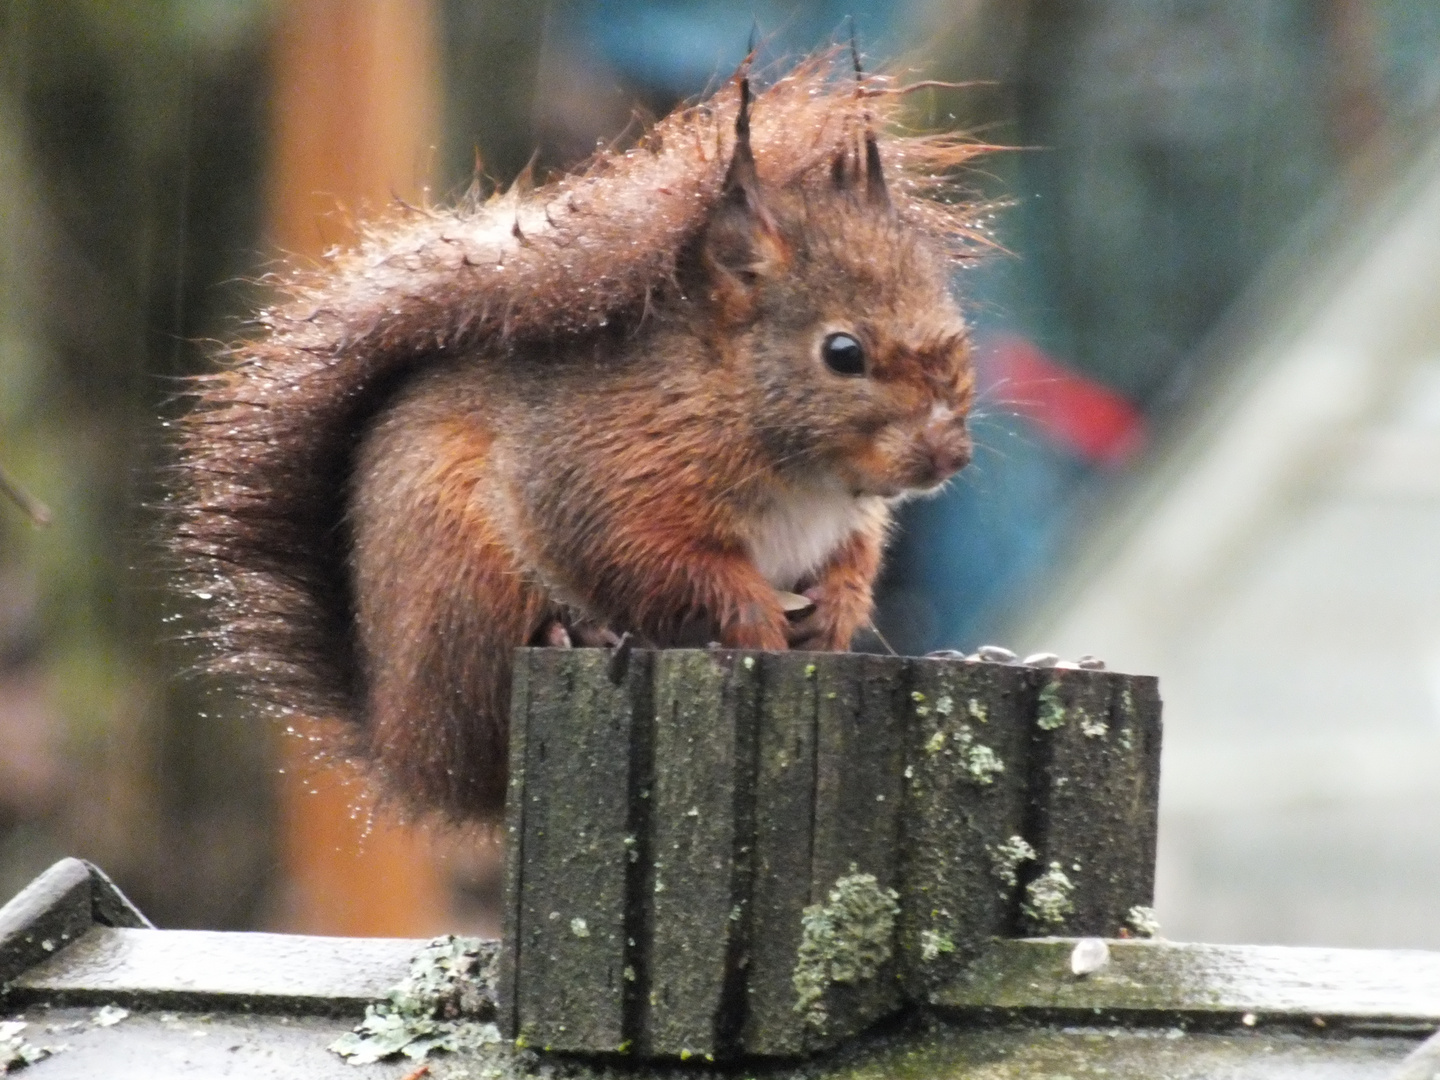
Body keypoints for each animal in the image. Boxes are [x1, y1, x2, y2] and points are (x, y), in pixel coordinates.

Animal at [165, 57, 979, 817]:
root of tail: (401, 746)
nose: (949, 457)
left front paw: (836, 610)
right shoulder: (602, 474)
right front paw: (751, 612)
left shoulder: (848, 519)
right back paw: (573, 639)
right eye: (843, 353)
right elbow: (650, 559)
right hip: (463, 582)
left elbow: (852, 560)